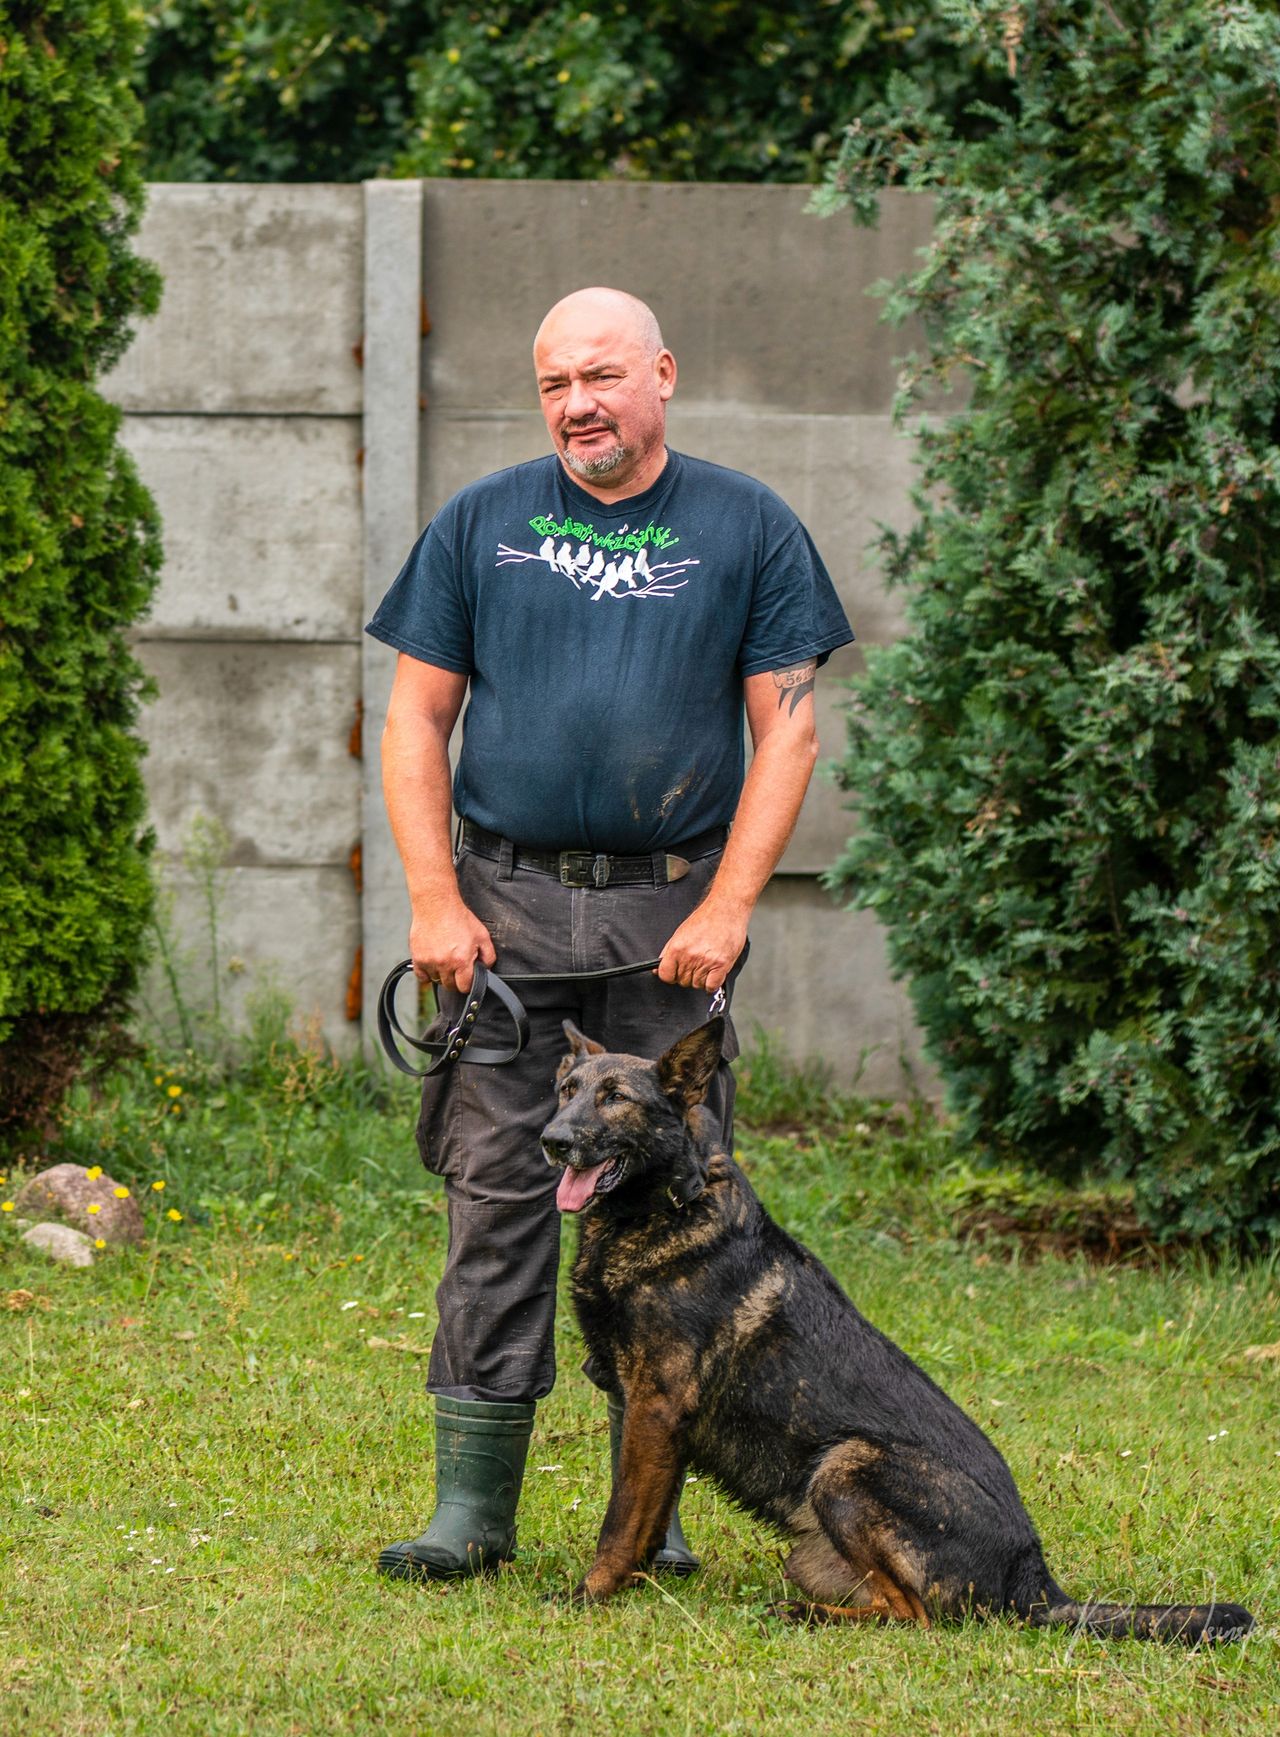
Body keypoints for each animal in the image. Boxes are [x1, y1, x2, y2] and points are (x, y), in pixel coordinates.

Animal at [538, 1014, 1250, 1639]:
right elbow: (647, 1520)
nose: (553, 1141)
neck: (668, 1206)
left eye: (615, 1099)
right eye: (567, 1091)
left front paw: (589, 1595)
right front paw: (632, 1586)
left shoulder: (654, 1408)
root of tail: (1034, 1577)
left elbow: (620, 1521)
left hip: (848, 1465)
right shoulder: (650, 1417)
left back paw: (807, 1618)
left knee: (916, 1616)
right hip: (814, 1548)